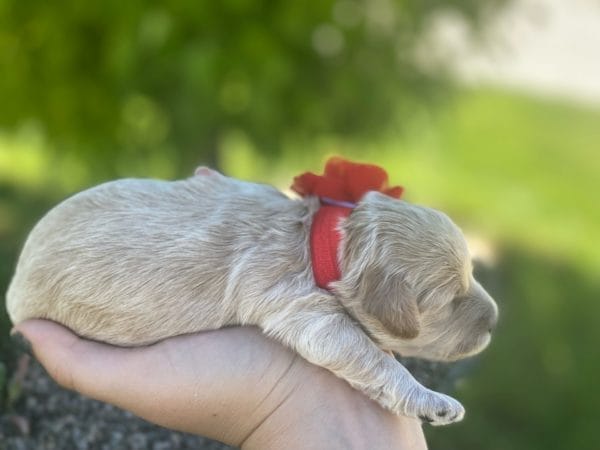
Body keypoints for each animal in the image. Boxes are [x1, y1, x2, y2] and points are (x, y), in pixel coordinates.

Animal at [5, 164, 496, 426]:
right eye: (450, 301)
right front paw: (432, 401)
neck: (324, 238)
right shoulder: (303, 310)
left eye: (473, 273)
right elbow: (371, 357)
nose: (495, 320)